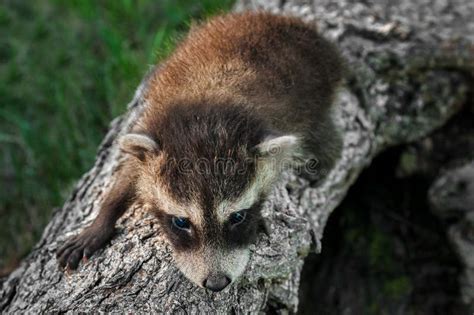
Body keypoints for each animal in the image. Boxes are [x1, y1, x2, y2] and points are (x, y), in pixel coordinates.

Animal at [56, 12, 344, 294]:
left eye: (237, 217)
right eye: (181, 222)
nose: (216, 284)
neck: (205, 119)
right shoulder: (155, 134)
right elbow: (128, 174)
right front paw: (101, 220)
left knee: (325, 142)